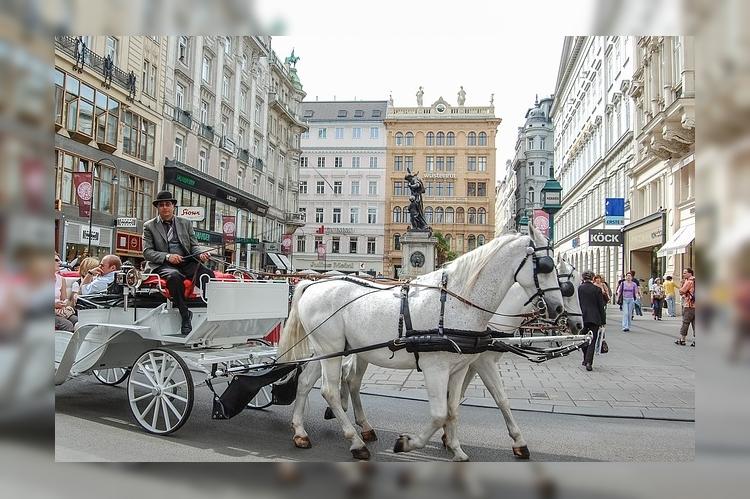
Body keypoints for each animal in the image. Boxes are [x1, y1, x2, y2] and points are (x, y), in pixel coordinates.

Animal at [280, 227, 568, 460]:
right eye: (545, 266)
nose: (558, 309)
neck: (457, 301)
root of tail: (312, 285)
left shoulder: (459, 368)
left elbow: (453, 409)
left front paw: (456, 448)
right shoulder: (436, 368)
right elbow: (440, 413)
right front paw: (407, 443)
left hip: (327, 350)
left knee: (306, 383)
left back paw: (301, 432)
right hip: (331, 351)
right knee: (329, 391)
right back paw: (356, 442)